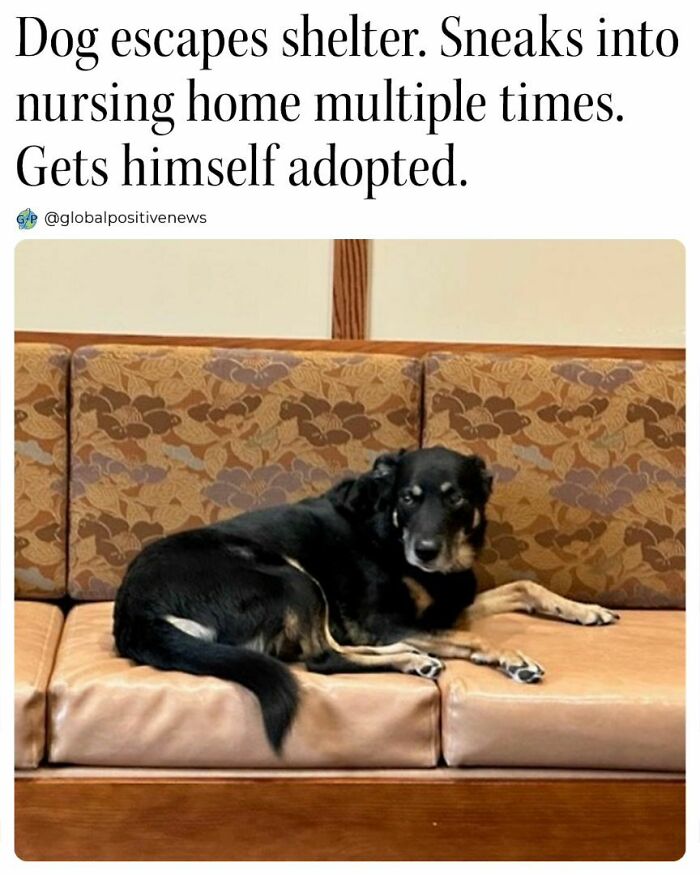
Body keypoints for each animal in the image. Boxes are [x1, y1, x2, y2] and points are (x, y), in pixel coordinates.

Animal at [113, 448, 616, 756]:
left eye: (455, 498)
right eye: (409, 498)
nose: (425, 551)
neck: (389, 535)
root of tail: (133, 614)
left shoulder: (449, 605)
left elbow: (525, 587)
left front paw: (585, 610)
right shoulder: (383, 621)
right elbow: (473, 639)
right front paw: (514, 659)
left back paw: (413, 658)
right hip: (290, 577)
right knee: (323, 658)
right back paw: (410, 657)